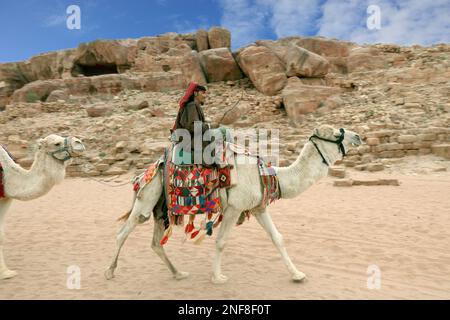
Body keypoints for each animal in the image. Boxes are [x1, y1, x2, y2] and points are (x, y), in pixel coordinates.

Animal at [105, 124, 362, 284]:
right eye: (336, 133)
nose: (358, 136)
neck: (269, 175)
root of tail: (149, 169)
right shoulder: (234, 208)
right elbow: (220, 242)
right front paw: (218, 278)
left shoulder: (258, 207)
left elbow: (277, 238)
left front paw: (298, 274)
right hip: (148, 196)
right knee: (123, 232)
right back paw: (109, 271)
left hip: (161, 208)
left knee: (156, 243)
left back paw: (178, 273)